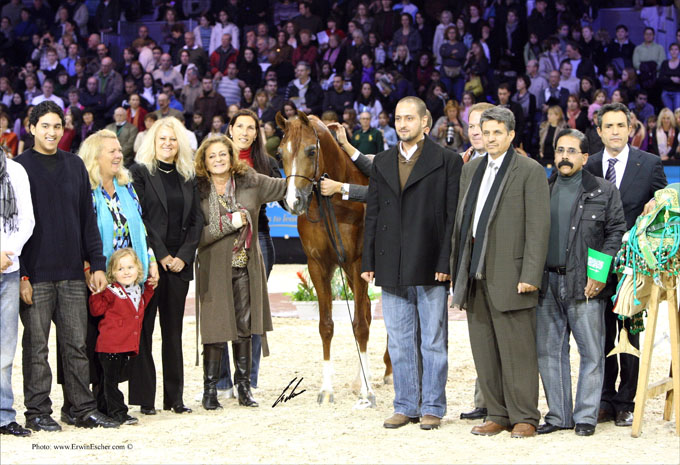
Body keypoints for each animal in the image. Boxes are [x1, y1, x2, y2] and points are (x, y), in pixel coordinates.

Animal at [276, 109, 394, 406]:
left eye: (310, 150)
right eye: (280, 153)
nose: (293, 201)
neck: (335, 203)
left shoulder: (358, 263)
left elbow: (360, 326)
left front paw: (368, 392)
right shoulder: (319, 266)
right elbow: (327, 325)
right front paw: (327, 390)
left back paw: (389, 372)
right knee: (367, 309)